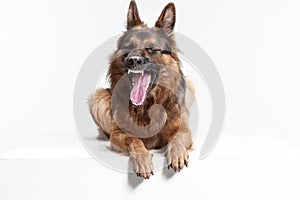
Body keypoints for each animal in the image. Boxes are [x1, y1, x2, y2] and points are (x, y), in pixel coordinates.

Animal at [88, 0, 195, 178]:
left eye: (152, 49)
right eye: (128, 47)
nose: (134, 60)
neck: (147, 106)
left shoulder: (183, 130)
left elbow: (177, 139)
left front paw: (177, 154)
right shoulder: (117, 134)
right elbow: (134, 139)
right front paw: (142, 158)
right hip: (98, 97)